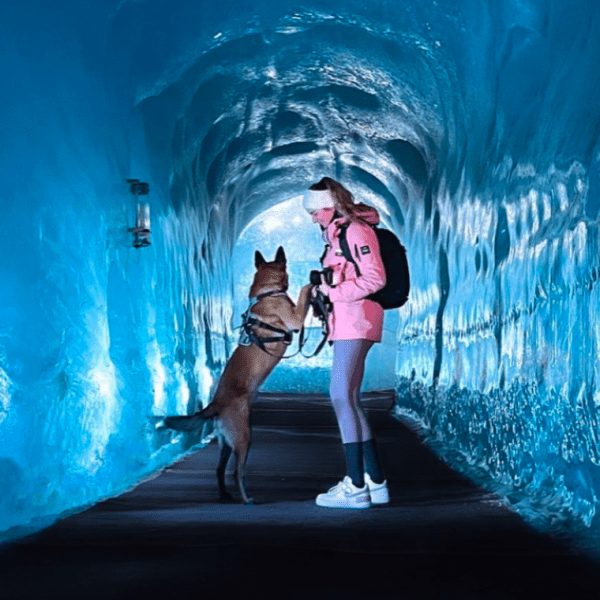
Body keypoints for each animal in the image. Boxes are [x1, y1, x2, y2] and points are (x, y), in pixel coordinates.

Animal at [165, 246, 314, 504]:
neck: (267, 292)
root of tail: (215, 404)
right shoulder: (295, 319)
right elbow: (304, 292)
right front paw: (314, 283)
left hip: (227, 443)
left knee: (219, 469)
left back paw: (225, 494)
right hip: (245, 438)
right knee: (236, 472)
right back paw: (246, 499)